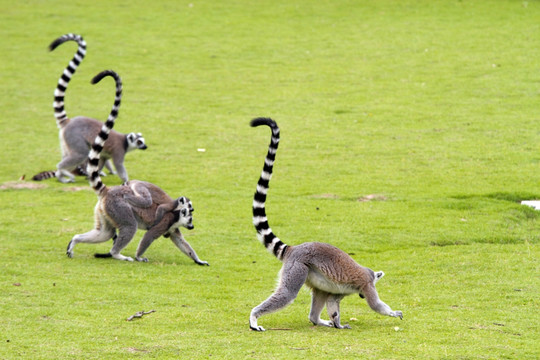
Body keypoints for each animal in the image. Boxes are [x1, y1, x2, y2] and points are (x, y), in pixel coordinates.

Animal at [33, 33, 148, 183]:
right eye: (139, 142)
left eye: (143, 141)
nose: (145, 146)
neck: (125, 142)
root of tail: (68, 122)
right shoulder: (118, 151)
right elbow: (118, 165)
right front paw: (125, 180)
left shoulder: (104, 155)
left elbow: (102, 161)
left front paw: (97, 173)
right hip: (75, 138)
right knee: (81, 154)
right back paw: (62, 170)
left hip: (66, 141)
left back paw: (62, 175)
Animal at [63, 70, 207, 266]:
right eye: (190, 217)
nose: (192, 225)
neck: (176, 215)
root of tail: (109, 192)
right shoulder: (166, 221)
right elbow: (149, 235)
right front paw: (140, 256)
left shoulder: (172, 228)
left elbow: (180, 242)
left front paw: (198, 260)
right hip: (120, 208)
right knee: (129, 225)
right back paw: (118, 254)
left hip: (106, 212)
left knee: (104, 233)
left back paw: (75, 241)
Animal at [248, 118, 400, 332]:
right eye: (364, 292)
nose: (360, 296)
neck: (369, 275)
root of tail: (295, 248)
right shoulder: (366, 283)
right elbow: (375, 305)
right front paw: (393, 312)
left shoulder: (343, 291)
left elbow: (333, 301)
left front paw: (337, 323)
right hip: (298, 266)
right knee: (287, 293)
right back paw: (254, 318)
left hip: (312, 273)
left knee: (320, 294)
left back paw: (317, 320)